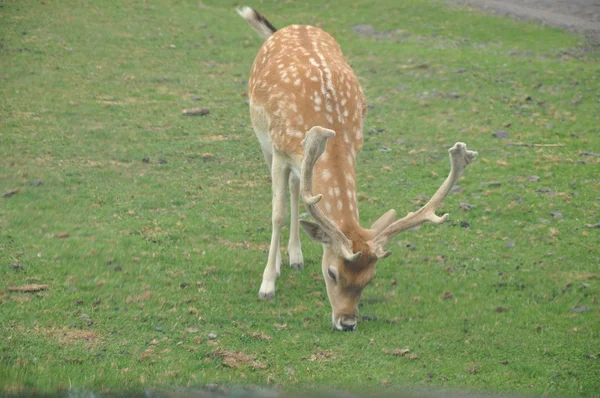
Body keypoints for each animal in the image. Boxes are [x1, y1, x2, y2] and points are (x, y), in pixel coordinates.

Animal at [237, 6, 476, 332]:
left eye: (369, 278)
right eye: (332, 273)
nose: (347, 322)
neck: (333, 132)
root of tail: (289, 27)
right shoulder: (279, 151)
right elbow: (277, 214)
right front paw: (267, 285)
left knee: (298, 188)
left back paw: (296, 256)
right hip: (262, 137)